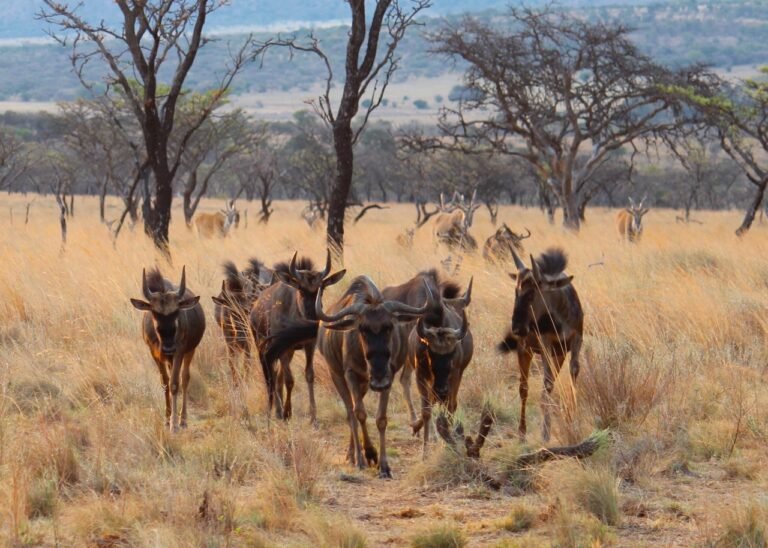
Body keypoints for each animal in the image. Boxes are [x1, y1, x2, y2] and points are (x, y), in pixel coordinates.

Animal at [130, 267, 206, 432]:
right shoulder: (155, 354)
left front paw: (174, 424)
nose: (168, 347)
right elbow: (165, 383)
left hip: (190, 351)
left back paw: (183, 420)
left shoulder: (179, 352)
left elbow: (174, 384)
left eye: (176, 312)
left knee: (185, 378)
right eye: (154, 312)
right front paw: (167, 418)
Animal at [250, 251, 345, 423]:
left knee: (278, 376)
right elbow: (289, 379)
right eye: (300, 288)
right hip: (262, 345)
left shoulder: (309, 346)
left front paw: (313, 417)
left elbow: (309, 375)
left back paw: (278, 411)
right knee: (273, 375)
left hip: (289, 351)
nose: (314, 319)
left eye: (321, 289)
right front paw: (287, 412)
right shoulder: (280, 348)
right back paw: (278, 410)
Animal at [498, 247, 584, 442]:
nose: (517, 328)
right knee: (524, 388)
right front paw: (546, 432)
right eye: (516, 291)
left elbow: (572, 373)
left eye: (532, 293)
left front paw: (573, 418)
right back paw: (522, 433)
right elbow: (546, 385)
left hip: (558, 355)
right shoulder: (545, 347)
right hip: (525, 351)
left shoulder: (575, 342)